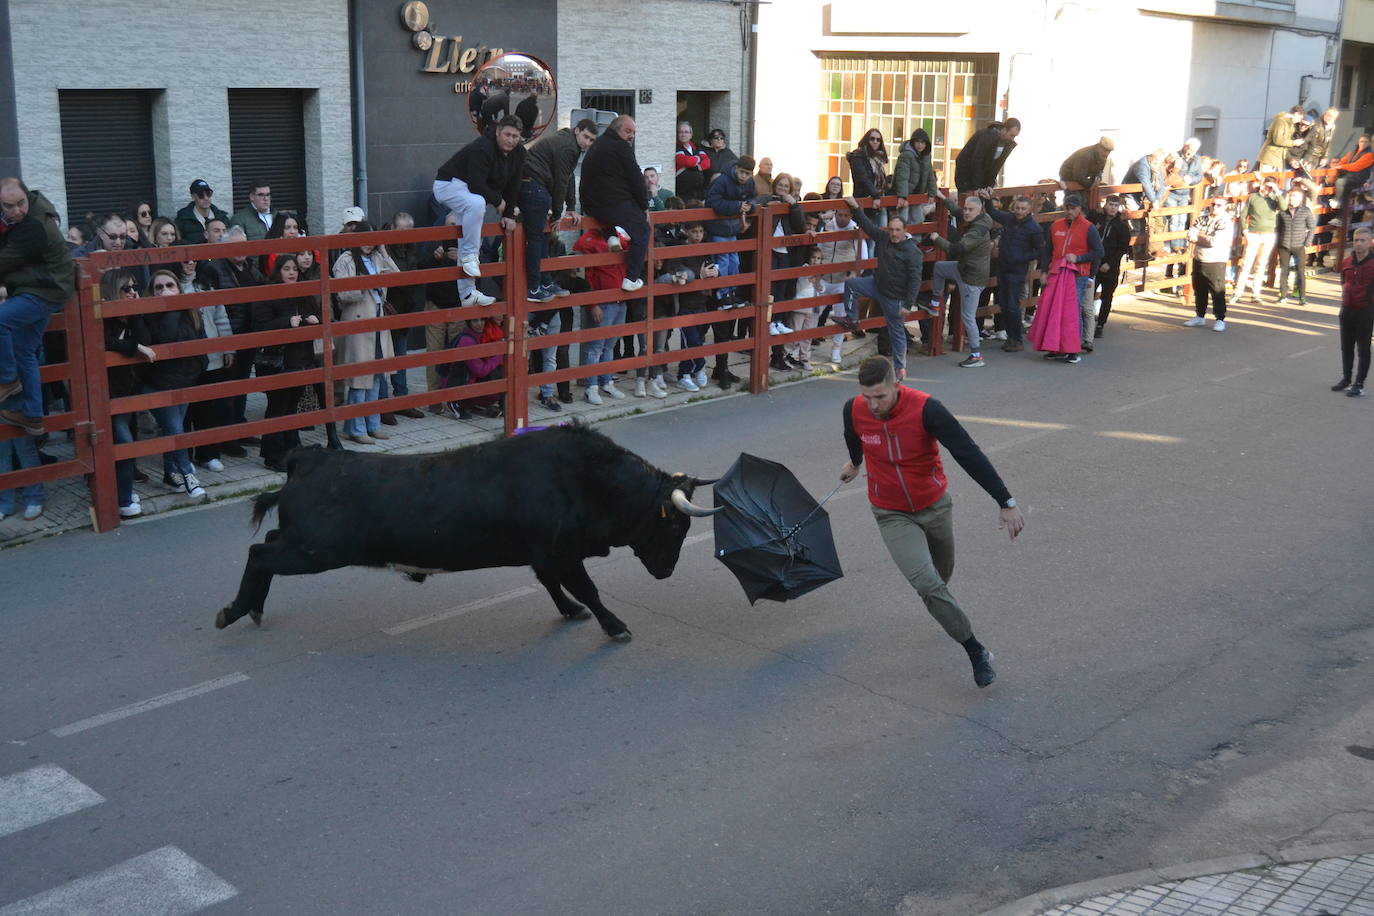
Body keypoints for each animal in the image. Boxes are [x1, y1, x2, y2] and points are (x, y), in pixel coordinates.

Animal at [211, 425, 719, 642]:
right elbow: (588, 590)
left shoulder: (544, 555)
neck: (582, 477)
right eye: (674, 524)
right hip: (316, 550)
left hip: (305, 545)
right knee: (259, 553)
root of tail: (310, 458)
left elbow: (556, 587)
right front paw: (615, 627)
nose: (666, 572)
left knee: (265, 548)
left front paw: (571, 612)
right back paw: (234, 610)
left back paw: (251, 608)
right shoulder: (560, 552)